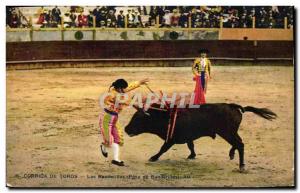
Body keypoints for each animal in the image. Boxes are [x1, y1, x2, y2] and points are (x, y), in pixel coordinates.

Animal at [124, 103, 276, 171]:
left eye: (137, 119)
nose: (125, 129)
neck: (165, 117)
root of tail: (233, 106)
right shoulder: (188, 137)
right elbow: (191, 145)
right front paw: (192, 155)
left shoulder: (171, 139)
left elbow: (163, 149)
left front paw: (153, 157)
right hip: (230, 132)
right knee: (238, 143)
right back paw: (232, 154)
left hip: (227, 132)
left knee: (240, 144)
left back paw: (241, 165)